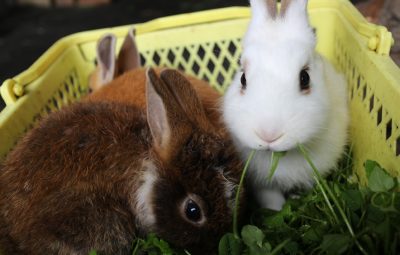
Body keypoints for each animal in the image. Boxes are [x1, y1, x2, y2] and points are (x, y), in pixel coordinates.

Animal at [223, 0, 348, 211]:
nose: (268, 135)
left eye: (305, 78)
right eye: (242, 79)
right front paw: (277, 210)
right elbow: (272, 201)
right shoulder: (263, 185)